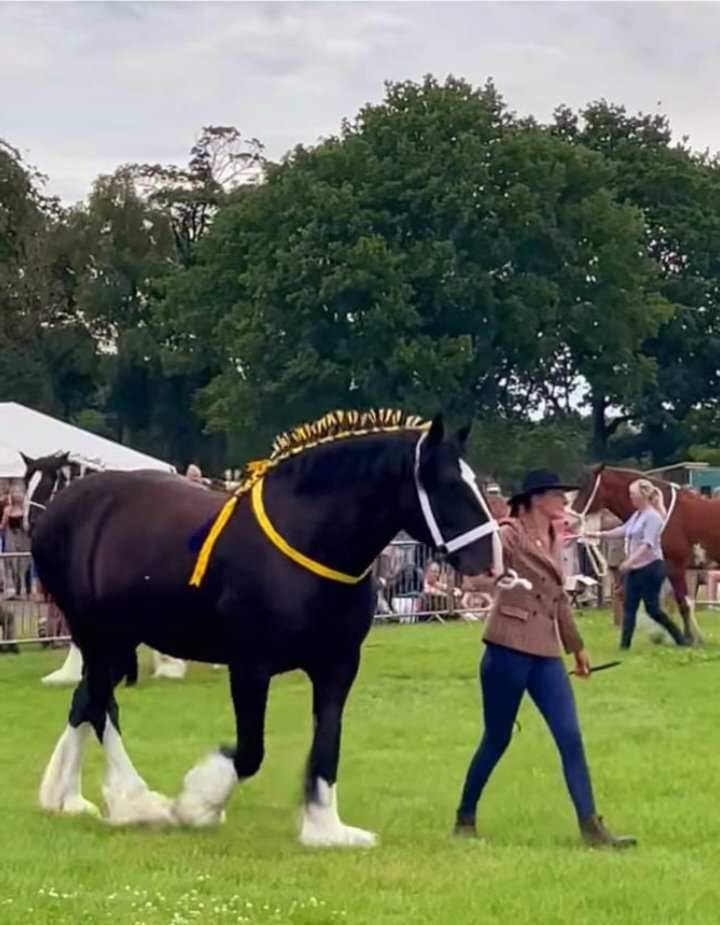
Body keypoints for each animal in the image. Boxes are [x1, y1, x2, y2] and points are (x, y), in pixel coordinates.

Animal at [32, 412, 506, 844]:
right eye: (447, 484)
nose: (492, 562)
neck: (308, 539)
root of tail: (63, 506)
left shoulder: (338, 665)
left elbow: (327, 744)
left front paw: (326, 828)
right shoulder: (250, 668)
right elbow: (250, 753)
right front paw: (197, 806)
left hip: (115, 642)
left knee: (85, 700)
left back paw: (66, 798)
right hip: (99, 636)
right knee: (100, 707)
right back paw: (136, 802)